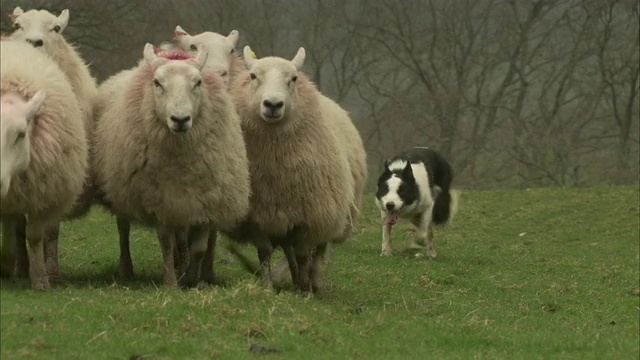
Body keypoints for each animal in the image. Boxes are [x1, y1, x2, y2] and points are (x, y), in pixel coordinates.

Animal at [7, 6, 100, 282]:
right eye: (17, 25)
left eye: (56, 28)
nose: (34, 42)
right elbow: (18, 225)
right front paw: (22, 269)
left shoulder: (59, 175)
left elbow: (51, 229)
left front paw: (52, 271)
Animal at [93, 43, 252, 286]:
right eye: (157, 83)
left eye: (198, 82)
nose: (180, 119)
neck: (180, 162)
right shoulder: (160, 198)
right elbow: (166, 242)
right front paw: (171, 282)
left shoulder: (205, 199)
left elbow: (198, 248)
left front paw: (193, 280)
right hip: (121, 187)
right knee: (124, 230)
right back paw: (127, 269)